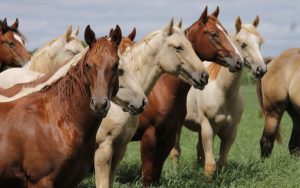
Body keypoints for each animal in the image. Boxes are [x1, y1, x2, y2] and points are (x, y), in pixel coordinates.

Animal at [130, 6, 243, 187]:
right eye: (213, 34)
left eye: (226, 32)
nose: (238, 62)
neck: (162, 90)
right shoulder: (149, 136)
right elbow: (147, 176)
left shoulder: (168, 136)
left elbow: (156, 174)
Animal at [171, 15, 268, 177]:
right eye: (243, 44)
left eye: (260, 42)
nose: (261, 70)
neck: (223, 91)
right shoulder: (208, 128)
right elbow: (211, 166)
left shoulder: (231, 130)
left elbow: (222, 163)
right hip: (178, 124)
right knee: (176, 150)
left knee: (199, 151)